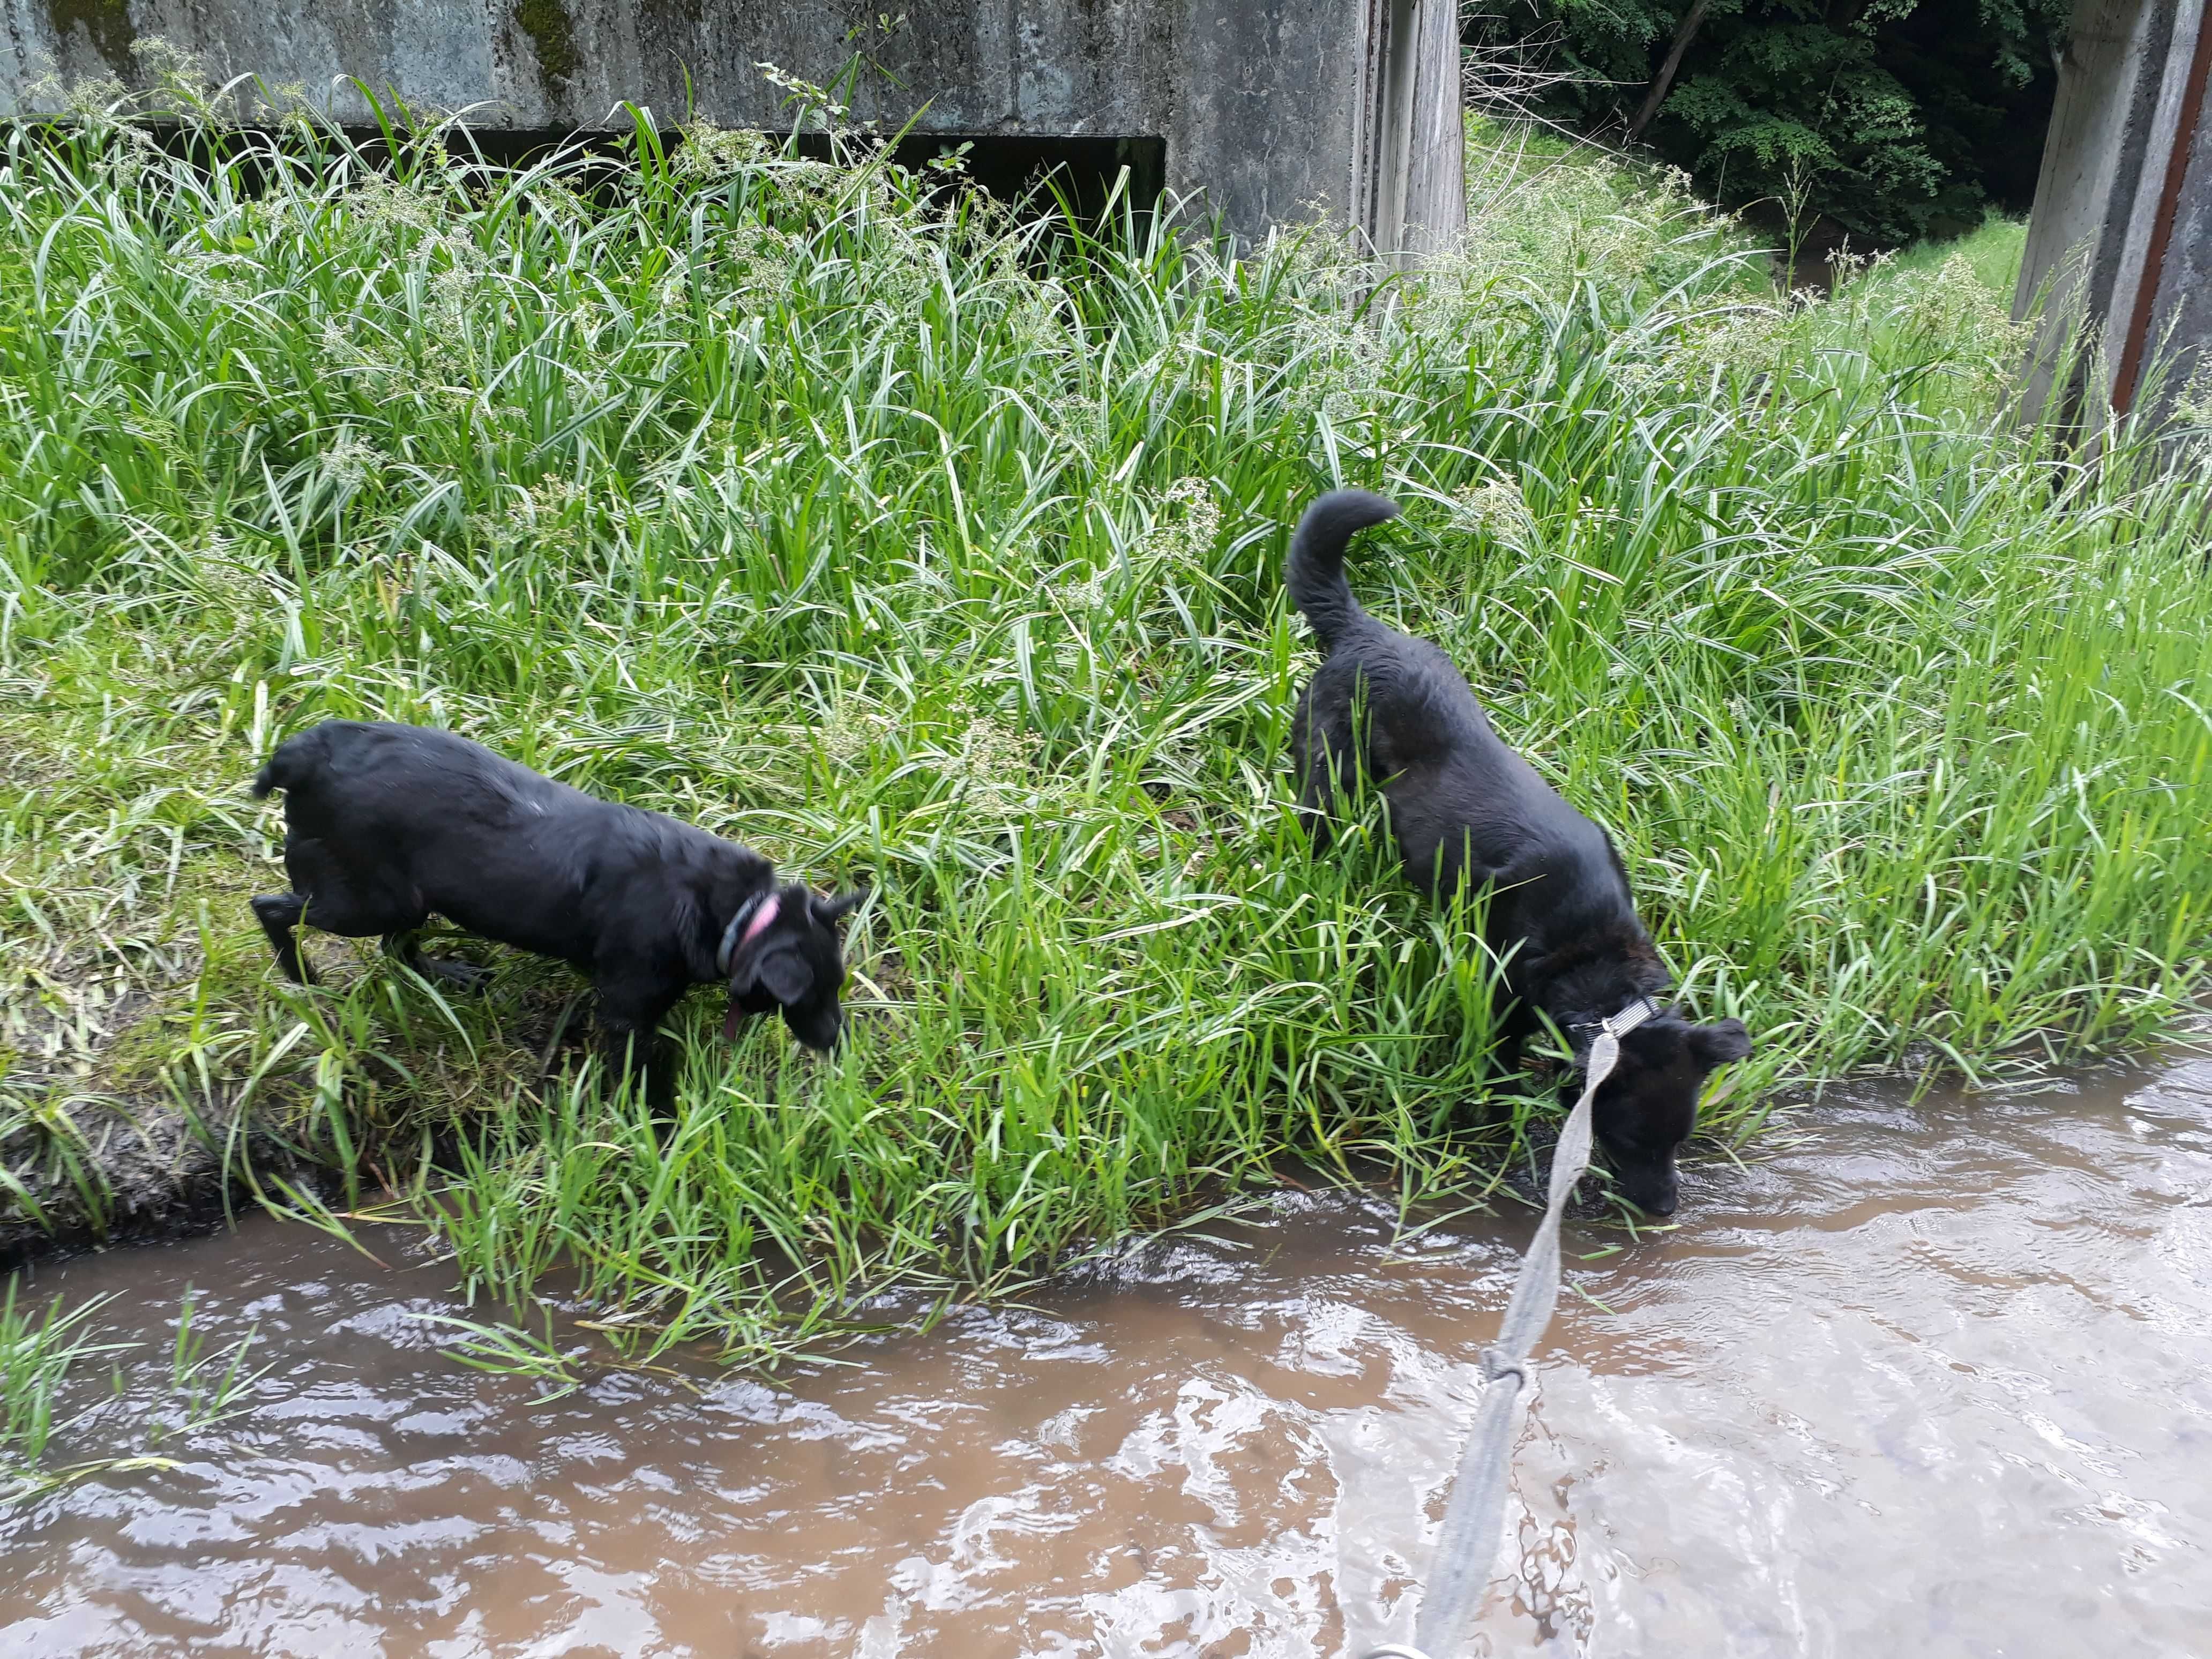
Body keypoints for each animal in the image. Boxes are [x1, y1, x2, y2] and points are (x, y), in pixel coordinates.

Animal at [249, 725, 854, 1106]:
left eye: (838, 985)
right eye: (810, 995)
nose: (838, 1042)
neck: (738, 913)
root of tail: (300, 754)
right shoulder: (625, 1012)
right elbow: (636, 1069)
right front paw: (652, 1120)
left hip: (406, 897)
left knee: (396, 948)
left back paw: (452, 975)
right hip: (368, 899)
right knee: (274, 909)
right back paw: (303, 977)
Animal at [1283, 487, 1743, 1212]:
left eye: (1683, 1137)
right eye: (1633, 1139)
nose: (1667, 1210)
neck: (1594, 947)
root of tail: (1364, 633)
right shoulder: (1501, 998)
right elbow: (1498, 1071)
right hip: (1328, 779)